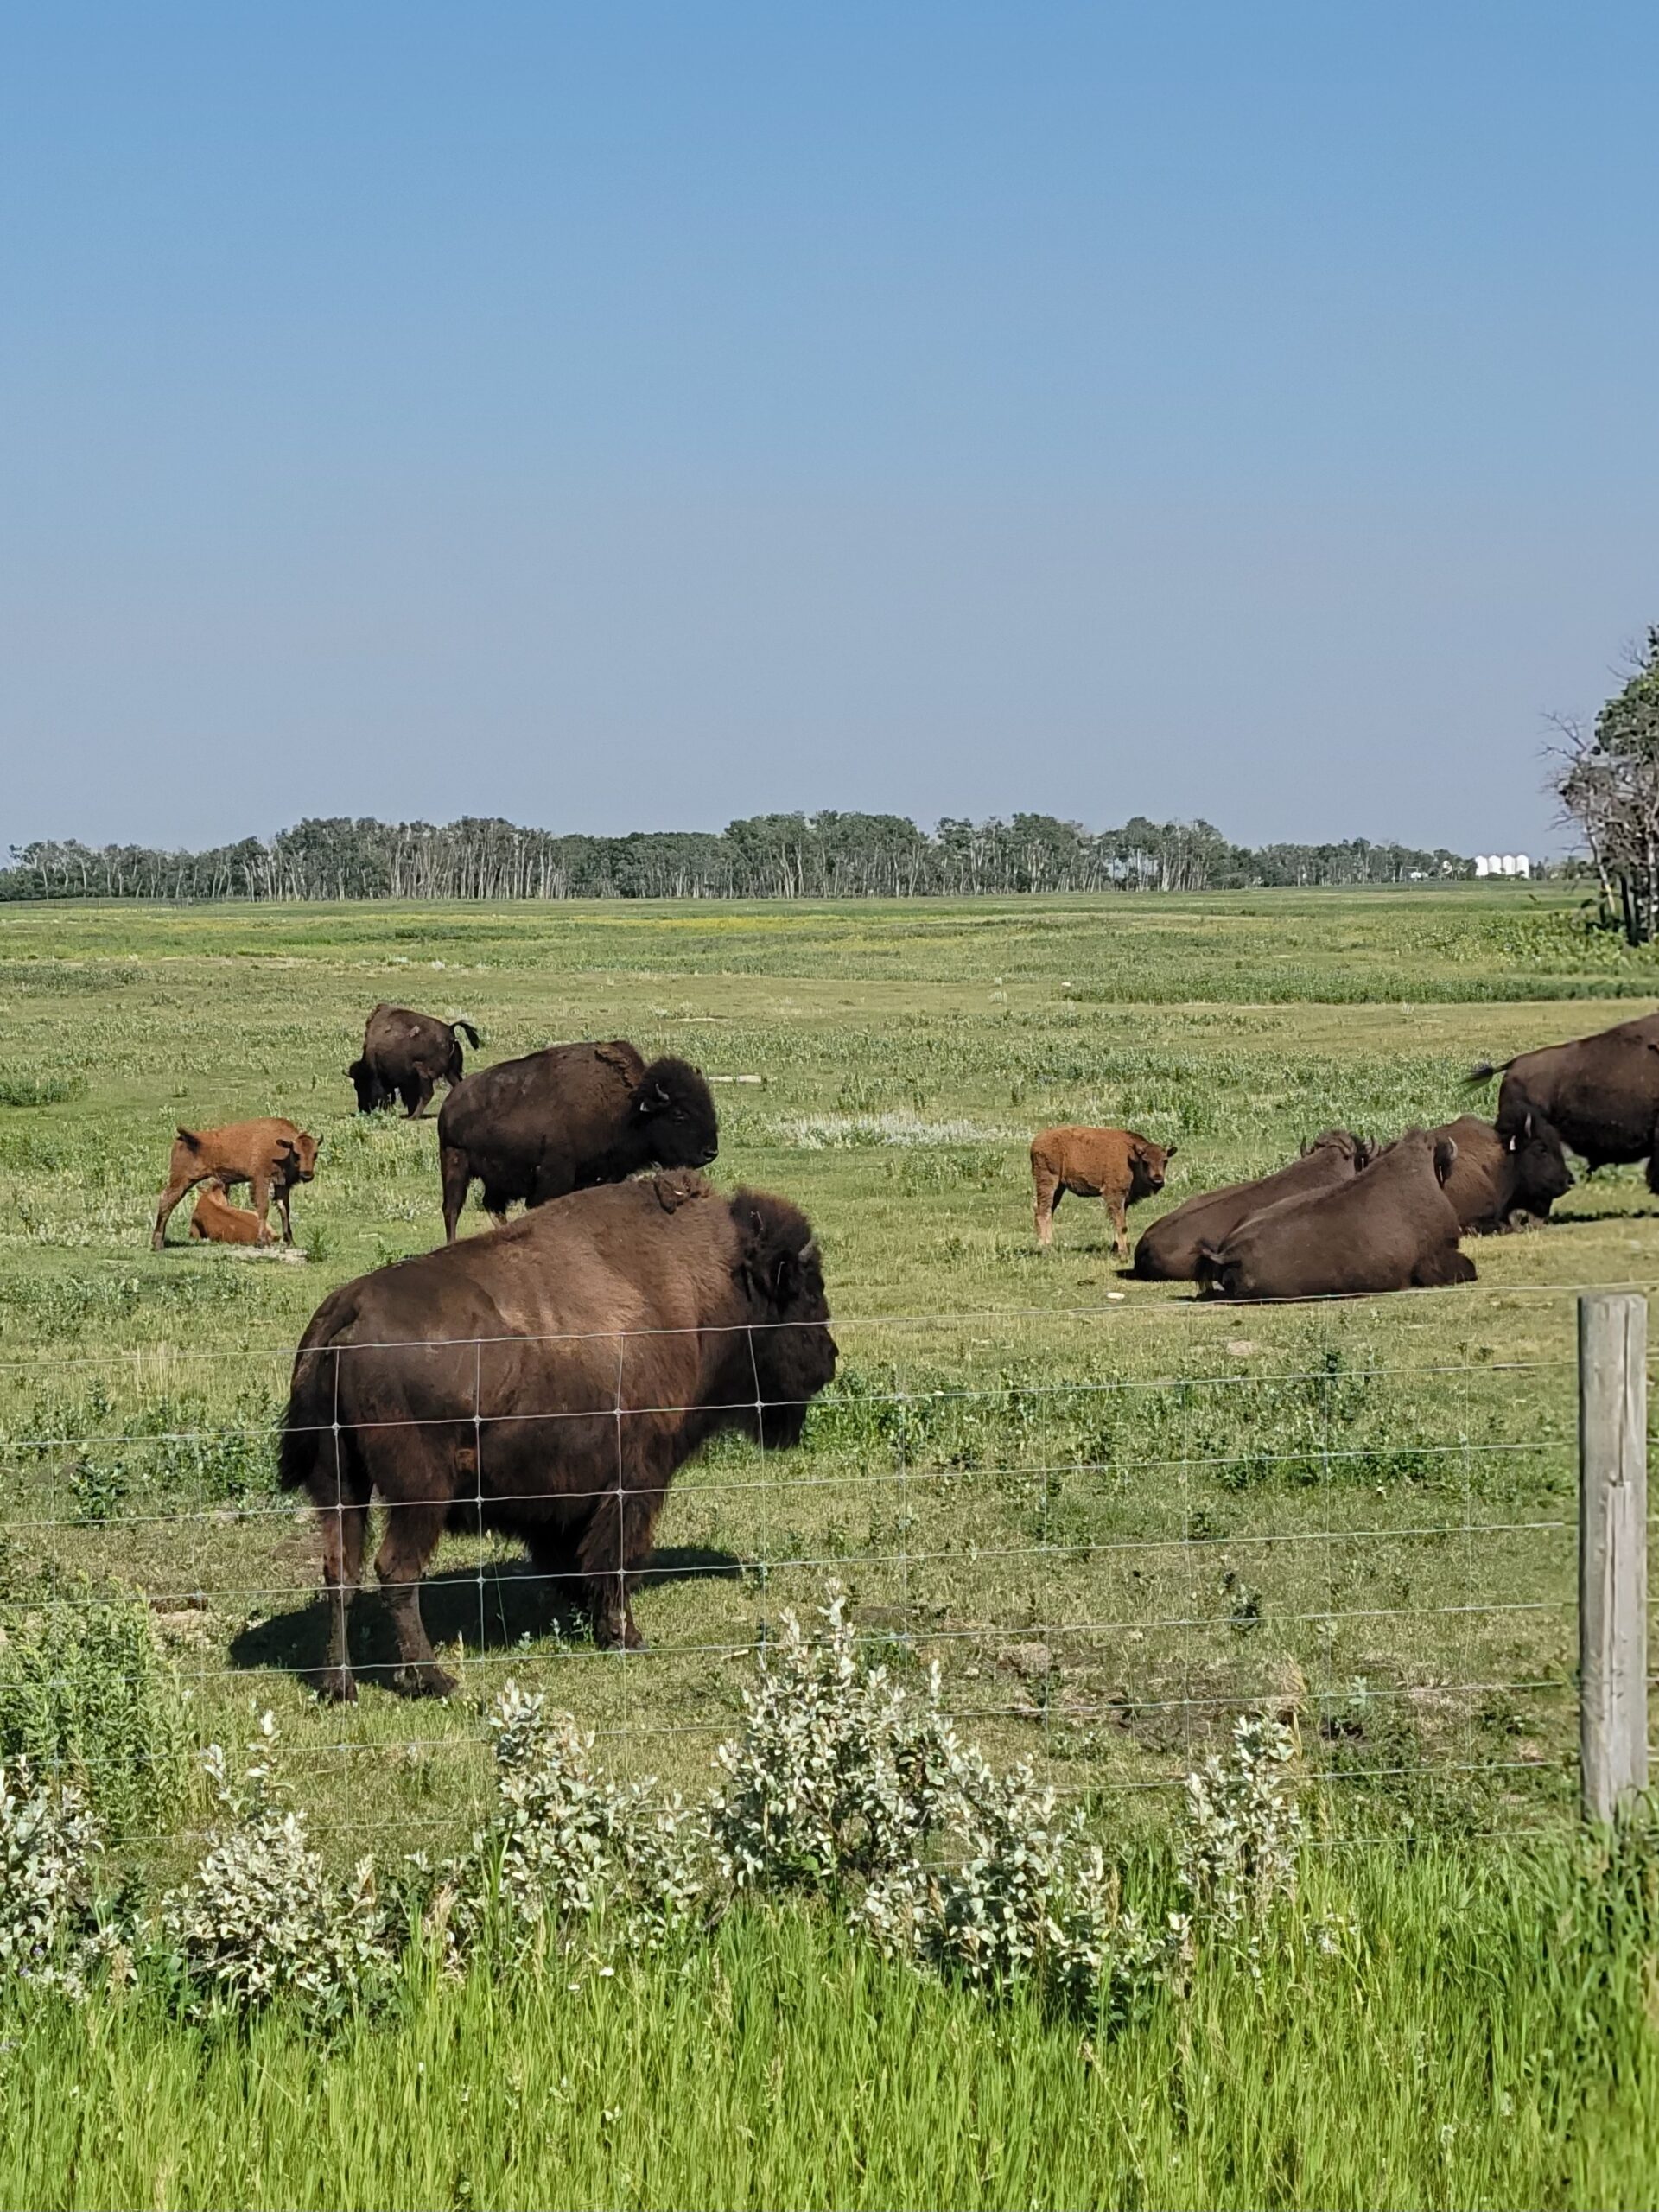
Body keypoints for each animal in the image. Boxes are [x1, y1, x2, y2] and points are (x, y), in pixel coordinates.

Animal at [278, 1172, 836, 1698]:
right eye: (806, 1293)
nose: (829, 1359)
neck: (707, 1286)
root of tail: (349, 1308)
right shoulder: (637, 1477)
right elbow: (616, 1559)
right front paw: (626, 1635)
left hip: (340, 1483)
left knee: (341, 1573)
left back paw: (339, 1685)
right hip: (420, 1493)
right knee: (395, 1570)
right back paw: (432, 1679)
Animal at [349, 1003, 481, 1119]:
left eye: (360, 1085)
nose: (362, 1108)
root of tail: (450, 1029)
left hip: (424, 1072)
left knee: (428, 1094)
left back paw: (413, 1117)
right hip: (450, 1072)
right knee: (456, 1085)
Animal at [436, 1038, 718, 1242]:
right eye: (679, 1114)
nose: (710, 1152)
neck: (629, 1109)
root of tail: (450, 1103)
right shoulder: (555, 1175)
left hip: (495, 1180)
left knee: (492, 1205)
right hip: (455, 1164)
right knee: (452, 1209)